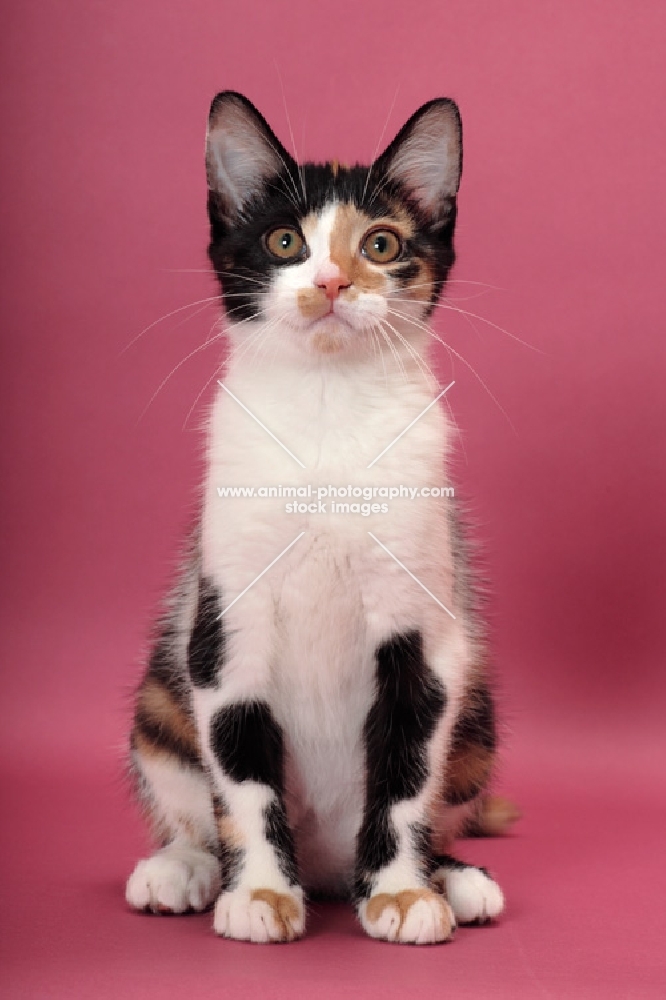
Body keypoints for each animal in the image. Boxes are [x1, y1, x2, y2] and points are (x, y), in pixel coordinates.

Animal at [126, 90, 520, 940]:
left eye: (381, 243)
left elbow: (406, 772)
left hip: (477, 714)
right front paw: (259, 894)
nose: (335, 281)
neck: (327, 413)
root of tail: (333, 870)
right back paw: (184, 868)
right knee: (188, 795)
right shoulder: (225, 629)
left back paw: (452, 879)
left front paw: (404, 893)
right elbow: (242, 778)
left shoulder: (426, 634)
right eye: (285, 240)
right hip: (158, 701)